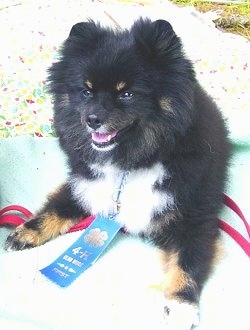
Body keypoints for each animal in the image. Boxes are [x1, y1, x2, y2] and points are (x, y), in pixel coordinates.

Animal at [5, 18, 231, 330]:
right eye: (86, 91)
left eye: (127, 93)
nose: (92, 119)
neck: (131, 161)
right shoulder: (85, 183)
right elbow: (57, 207)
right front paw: (26, 231)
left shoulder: (196, 216)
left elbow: (187, 262)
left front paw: (180, 306)